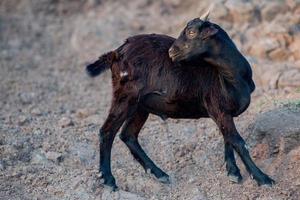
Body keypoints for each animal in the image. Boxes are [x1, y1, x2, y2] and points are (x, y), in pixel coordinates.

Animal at [85, 16, 276, 190]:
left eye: (191, 32)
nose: (171, 52)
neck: (230, 76)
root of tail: (116, 53)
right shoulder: (217, 107)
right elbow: (238, 142)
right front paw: (263, 179)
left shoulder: (221, 112)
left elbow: (227, 138)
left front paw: (233, 172)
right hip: (126, 96)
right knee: (107, 131)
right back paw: (108, 180)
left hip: (140, 105)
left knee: (128, 135)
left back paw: (159, 174)